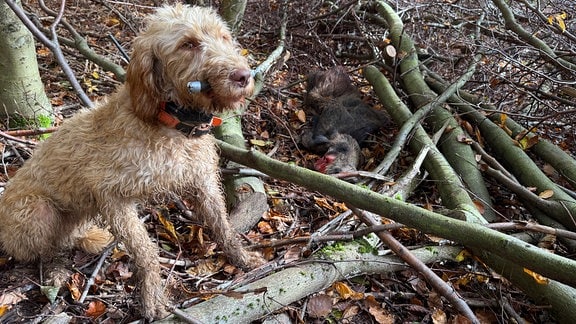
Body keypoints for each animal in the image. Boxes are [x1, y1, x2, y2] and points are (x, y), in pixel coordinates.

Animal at [0, 3, 264, 320]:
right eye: (188, 44)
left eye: (224, 37)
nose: (243, 75)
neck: (172, 124)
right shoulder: (112, 196)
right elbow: (145, 251)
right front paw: (152, 296)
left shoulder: (203, 182)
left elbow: (222, 225)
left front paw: (242, 257)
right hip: (37, 211)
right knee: (45, 250)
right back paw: (55, 270)